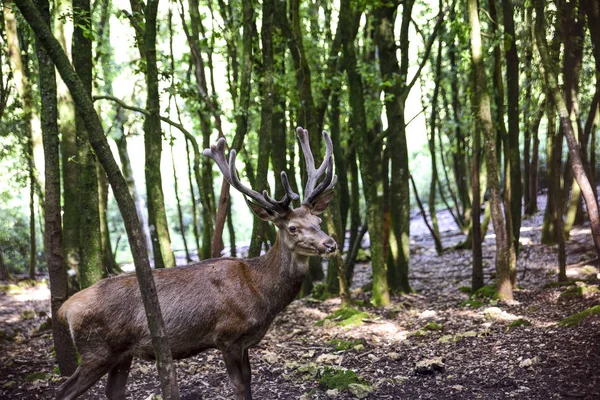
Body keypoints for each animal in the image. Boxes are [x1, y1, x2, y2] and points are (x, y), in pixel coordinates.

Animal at [55, 127, 338, 400]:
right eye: (292, 228)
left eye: (318, 221)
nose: (330, 244)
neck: (260, 291)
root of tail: (65, 309)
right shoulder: (227, 336)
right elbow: (239, 386)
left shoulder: (244, 342)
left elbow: (248, 382)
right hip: (98, 350)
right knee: (63, 391)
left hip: (122, 353)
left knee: (113, 391)